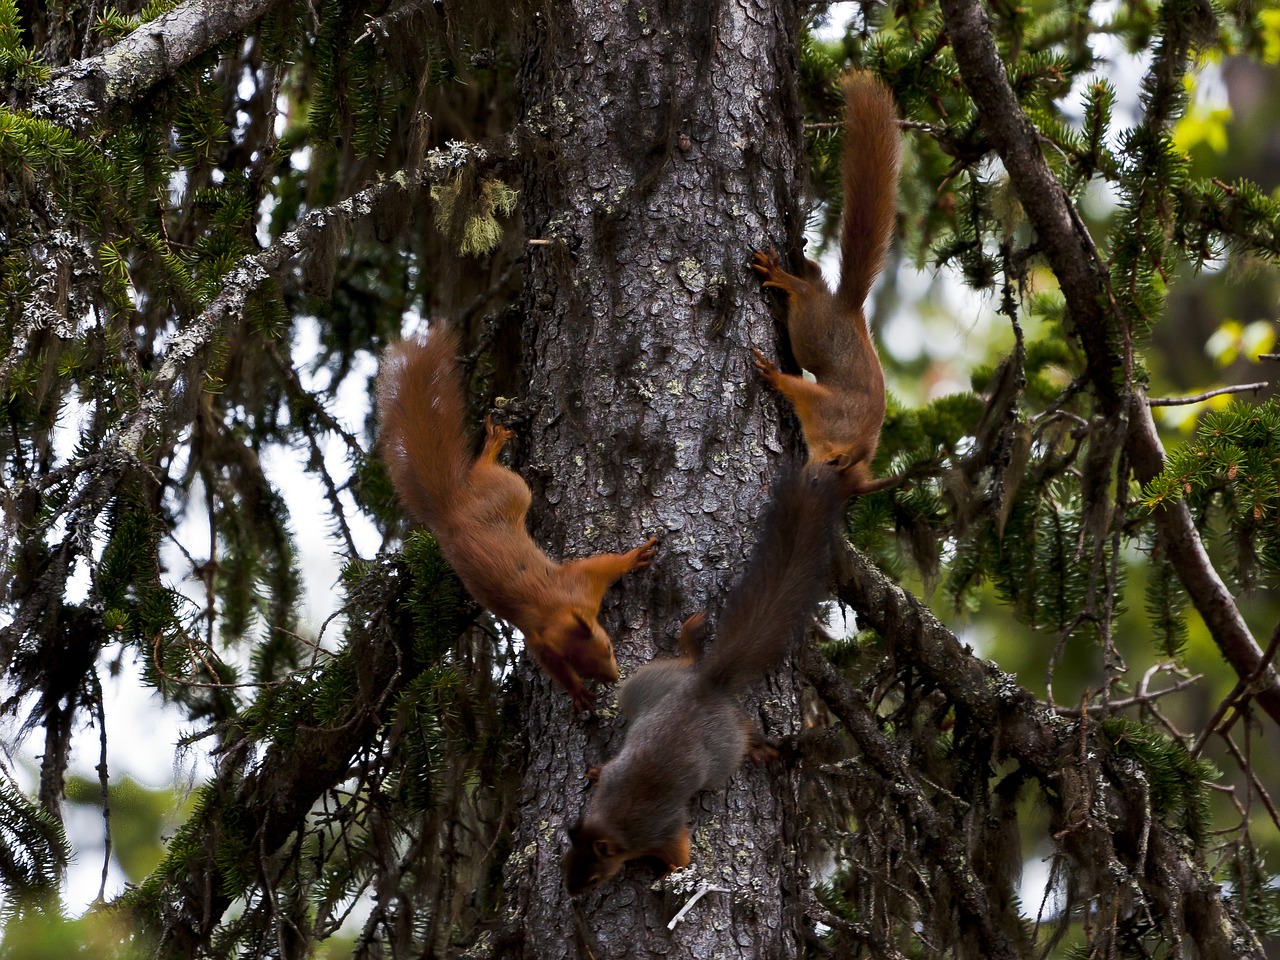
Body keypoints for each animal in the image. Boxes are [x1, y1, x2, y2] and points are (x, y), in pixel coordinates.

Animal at [373, 330, 655, 716]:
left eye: (609, 649)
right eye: (586, 662)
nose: (614, 679)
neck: (552, 610)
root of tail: (449, 510)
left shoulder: (564, 607)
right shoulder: (561, 611)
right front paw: (577, 692)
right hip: (511, 491)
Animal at [563, 465, 844, 896]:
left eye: (593, 877)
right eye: (565, 863)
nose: (572, 893)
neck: (613, 822)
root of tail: (704, 686)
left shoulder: (660, 830)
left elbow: (679, 850)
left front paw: (672, 872)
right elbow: (606, 771)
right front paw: (594, 771)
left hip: (718, 753)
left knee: (741, 731)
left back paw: (756, 744)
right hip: (647, 684)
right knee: (687, 666)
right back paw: (690, 642)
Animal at [747, 69, 901, 496]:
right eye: (819, 482)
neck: (847, 437)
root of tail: (848, 308)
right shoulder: (827, 407)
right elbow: (800, 390)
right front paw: (772, 374)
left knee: (814, 276)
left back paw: (797, 260)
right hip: (813, 331)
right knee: (804, 293)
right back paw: (783, 276)